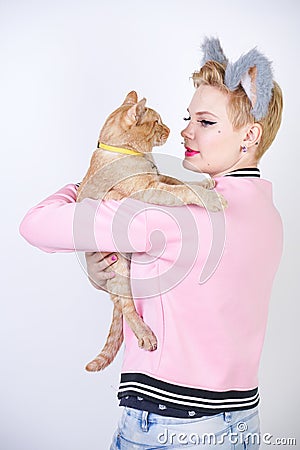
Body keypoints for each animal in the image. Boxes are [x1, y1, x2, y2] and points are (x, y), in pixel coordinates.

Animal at [76, 89, 226, 370]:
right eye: (157, 122)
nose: (170, 130)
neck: (135, 154)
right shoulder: (148, 189)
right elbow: (183, 191)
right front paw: (211, 198)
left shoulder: (157, 179)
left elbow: (180, 181)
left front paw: (205, 182)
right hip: (119, 269)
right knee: (126, 307)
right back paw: (145, 335)